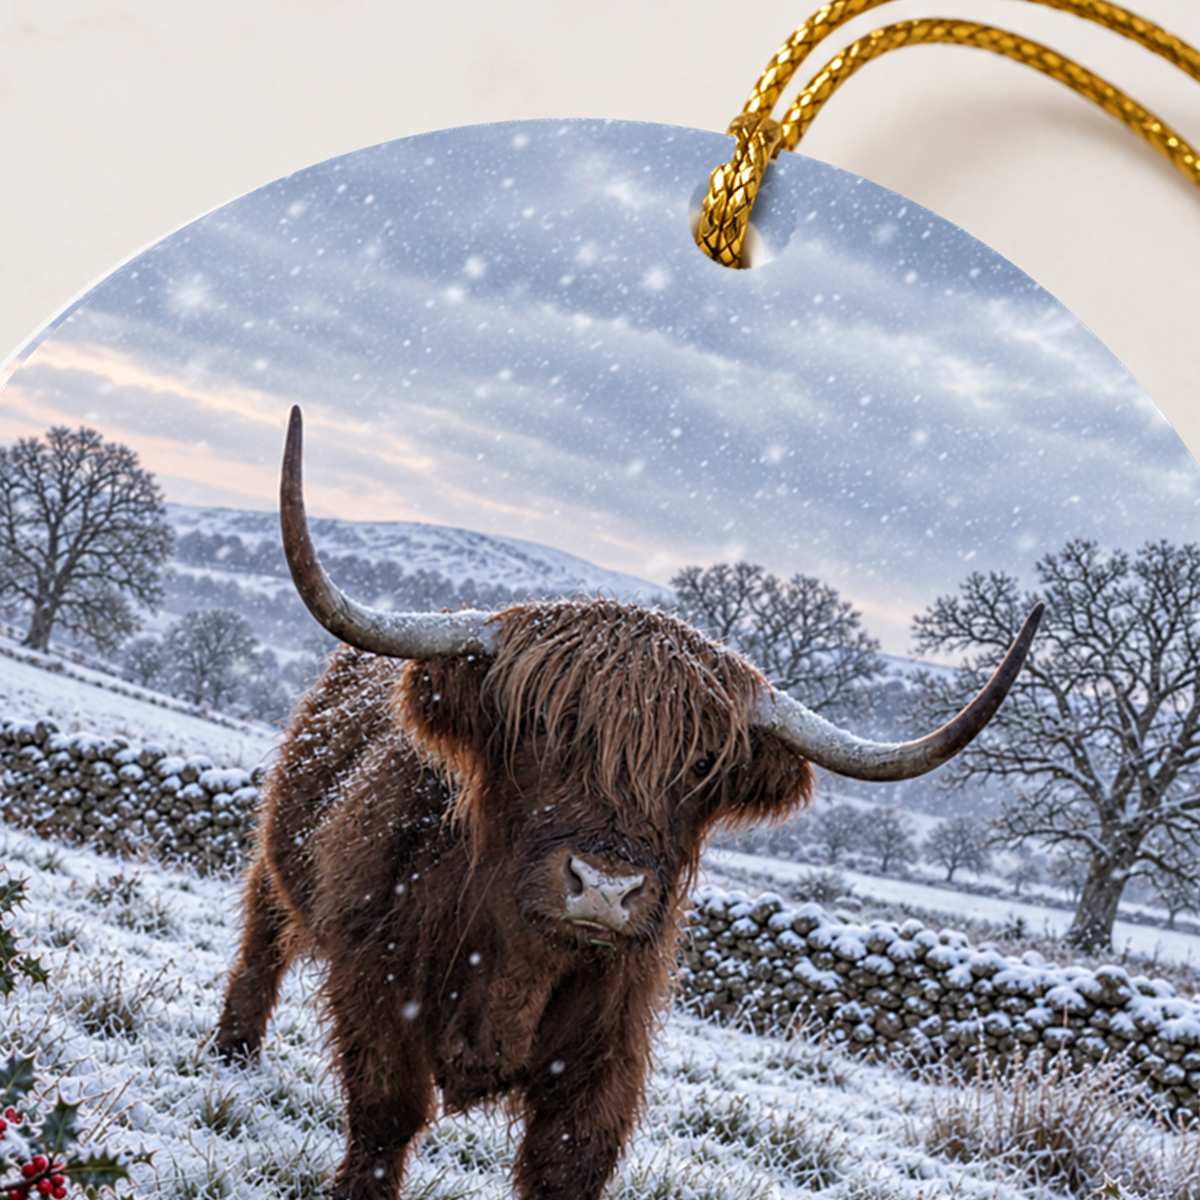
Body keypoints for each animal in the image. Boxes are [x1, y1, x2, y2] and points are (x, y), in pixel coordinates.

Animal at [215, 406, 1042, 1200]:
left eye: (702, 764)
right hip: (278, 862)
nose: (605, 889)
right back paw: (233, 1053)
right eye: (541, 726)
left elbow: (570, 1160)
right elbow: (386, 1118)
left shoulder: (612, 1041)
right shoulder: (376, 982)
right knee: (263, 940)